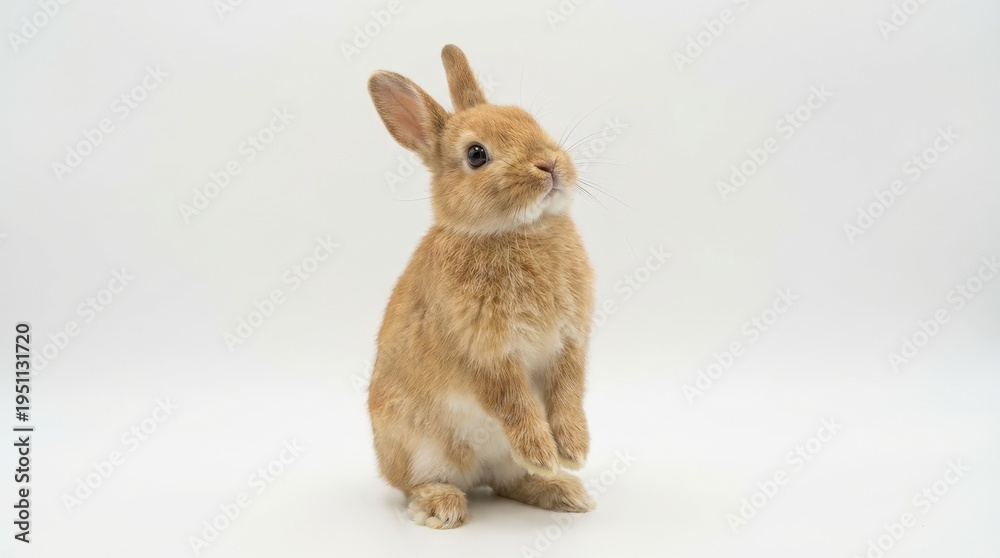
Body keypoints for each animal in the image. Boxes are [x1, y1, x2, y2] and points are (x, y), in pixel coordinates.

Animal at [366, 44, 595, 529]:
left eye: (530, 120)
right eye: (476, 154)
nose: (549, 163)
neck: (515, 230)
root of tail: (479, 473)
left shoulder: (570, 343)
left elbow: (568, 391)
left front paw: (572, 451)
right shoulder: (484, 353)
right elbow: (512, 401)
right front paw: (543, 451)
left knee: (510, 483)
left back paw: (560, 488)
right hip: (420, 447)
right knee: (419, 483)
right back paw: (443, 506)